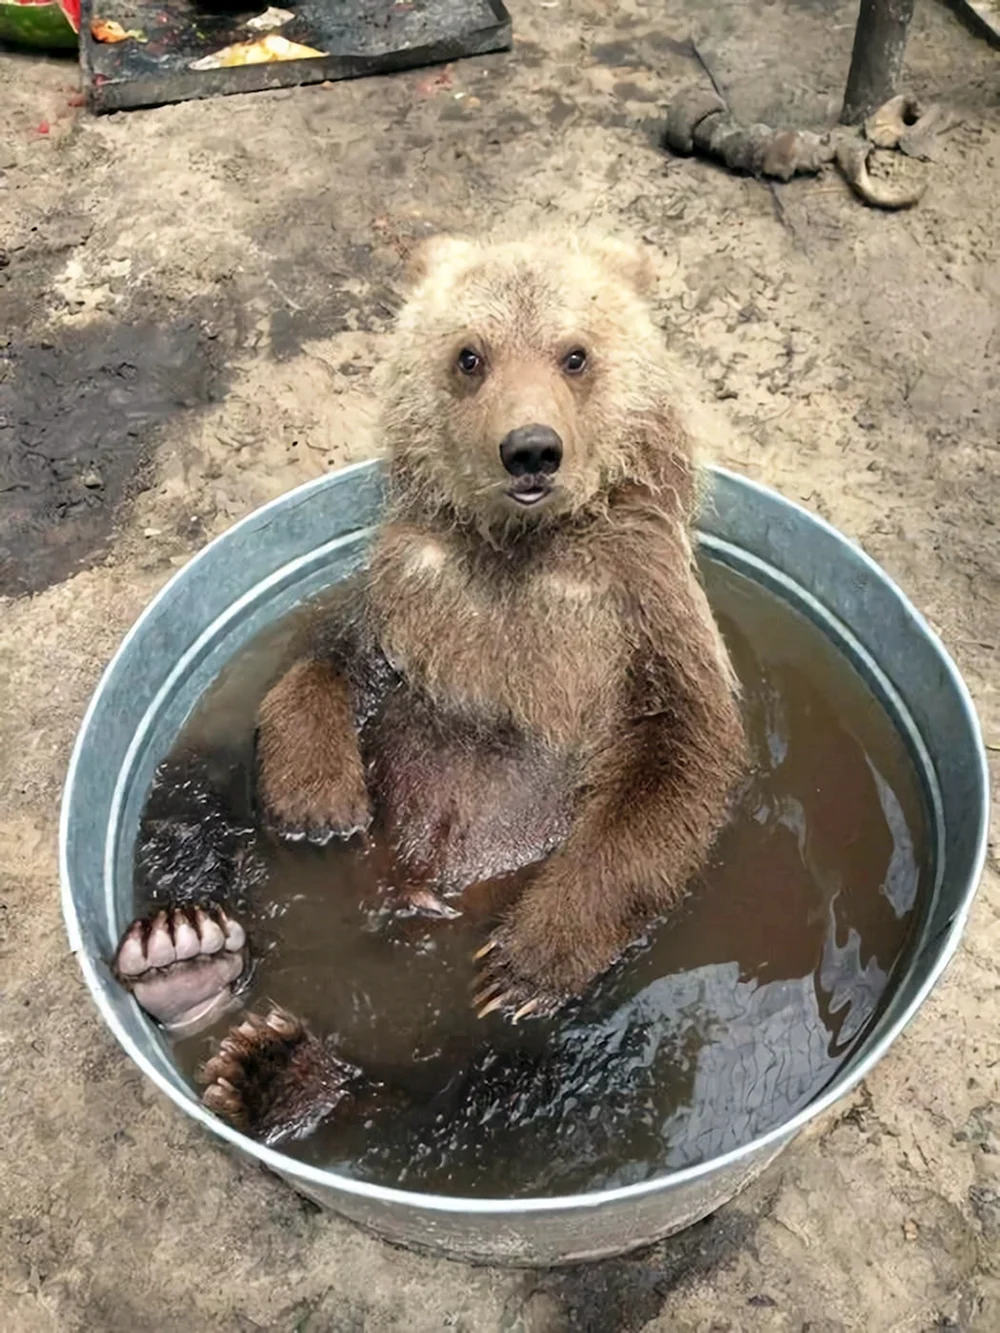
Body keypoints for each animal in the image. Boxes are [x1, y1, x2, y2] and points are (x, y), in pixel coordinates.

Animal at [113, 229, 746, 1146]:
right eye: (469, 355)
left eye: (576, 353)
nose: (530, 448)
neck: (518, 549)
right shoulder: (410, 586)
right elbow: (325, 664)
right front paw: (319, 803)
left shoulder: (639, 610)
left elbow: (675, 762)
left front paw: (521, 965)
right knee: (192, 801)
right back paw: (189, 956)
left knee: (504, 1087)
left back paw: (276, 1057)